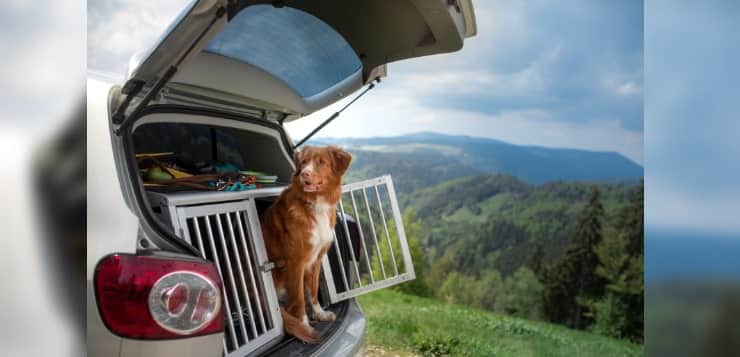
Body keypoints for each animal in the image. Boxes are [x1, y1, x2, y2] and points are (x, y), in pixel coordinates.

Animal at [260, 144, 352, 342]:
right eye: (303, 163)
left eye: (322, 162)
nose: (305, 174)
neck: (314, 203)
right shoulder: (296, 262)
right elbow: (300, 298)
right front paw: (304, 324)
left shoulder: (317, 259)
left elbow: (313, 290)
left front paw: (319, 313)